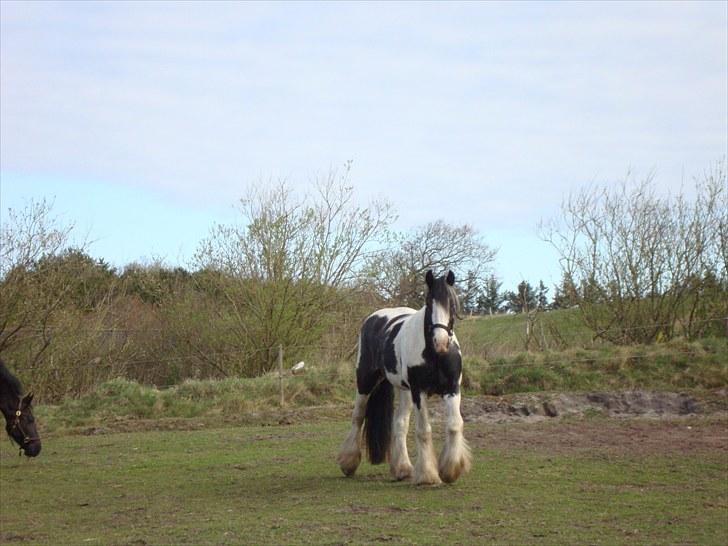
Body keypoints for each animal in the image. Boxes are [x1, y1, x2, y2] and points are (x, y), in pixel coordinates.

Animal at [336, 270, 472, 482]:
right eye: (429, 302)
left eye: (451, 303)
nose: (441, 342)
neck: (434, 354)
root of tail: (374, 318)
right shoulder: (419, 391)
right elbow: (424, 431)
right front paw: (427, 475)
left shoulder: (452, 389)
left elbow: (455, 424)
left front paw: (451, 469)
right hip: (365, 382)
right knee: (357, 417)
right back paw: (348, 463)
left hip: (404, 391)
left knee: (399, 423)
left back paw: (402, 468)